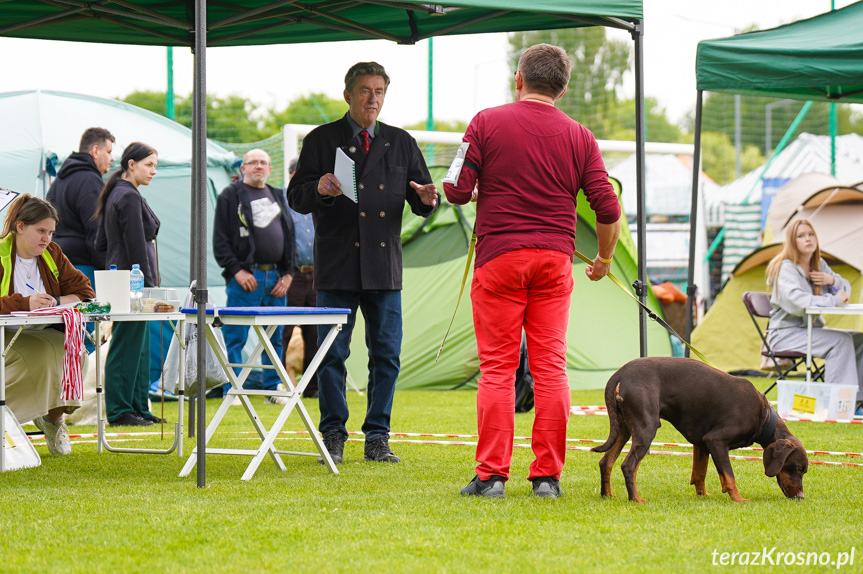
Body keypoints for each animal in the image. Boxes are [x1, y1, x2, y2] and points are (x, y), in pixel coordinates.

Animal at [592, 360, 808, 504]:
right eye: (798, 469)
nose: (801, 497)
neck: (764, 417)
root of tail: (620, 374)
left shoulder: (702, 443)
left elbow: (700, 473)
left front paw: (703, 494)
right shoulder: (716, 440)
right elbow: (729, 475)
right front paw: (738, 499)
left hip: (624, 429)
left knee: (606, 462)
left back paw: (607, 495)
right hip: (646, 428)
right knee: (628, 466)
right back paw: (635, 499)